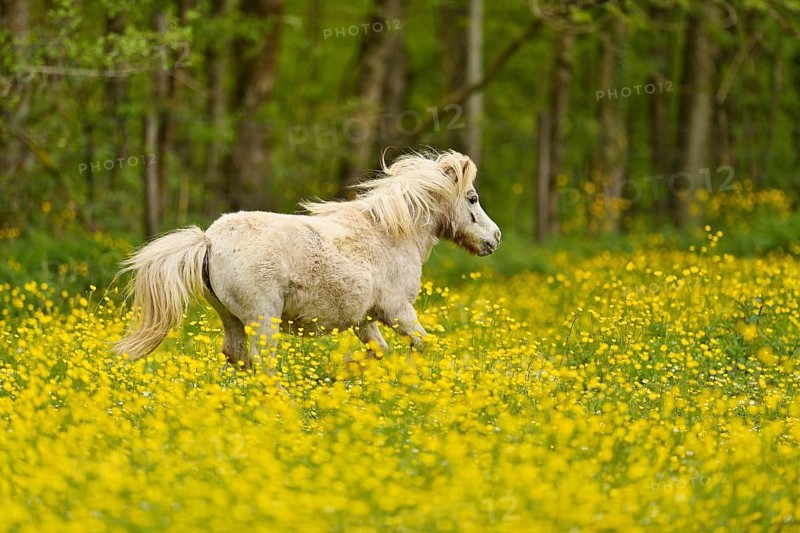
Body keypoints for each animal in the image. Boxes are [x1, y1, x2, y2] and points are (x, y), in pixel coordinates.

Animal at [114, 149, 501, 367]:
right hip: (263, 320)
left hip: (232, 319)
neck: (390, 234)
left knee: (236, 358)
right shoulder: (397, 311)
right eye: (472, 198)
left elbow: (378, 351)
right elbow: (420, 343)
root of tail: (209, 240)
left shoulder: (365, 320)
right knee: (261, 363)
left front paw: (345, 371)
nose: (494, 238)